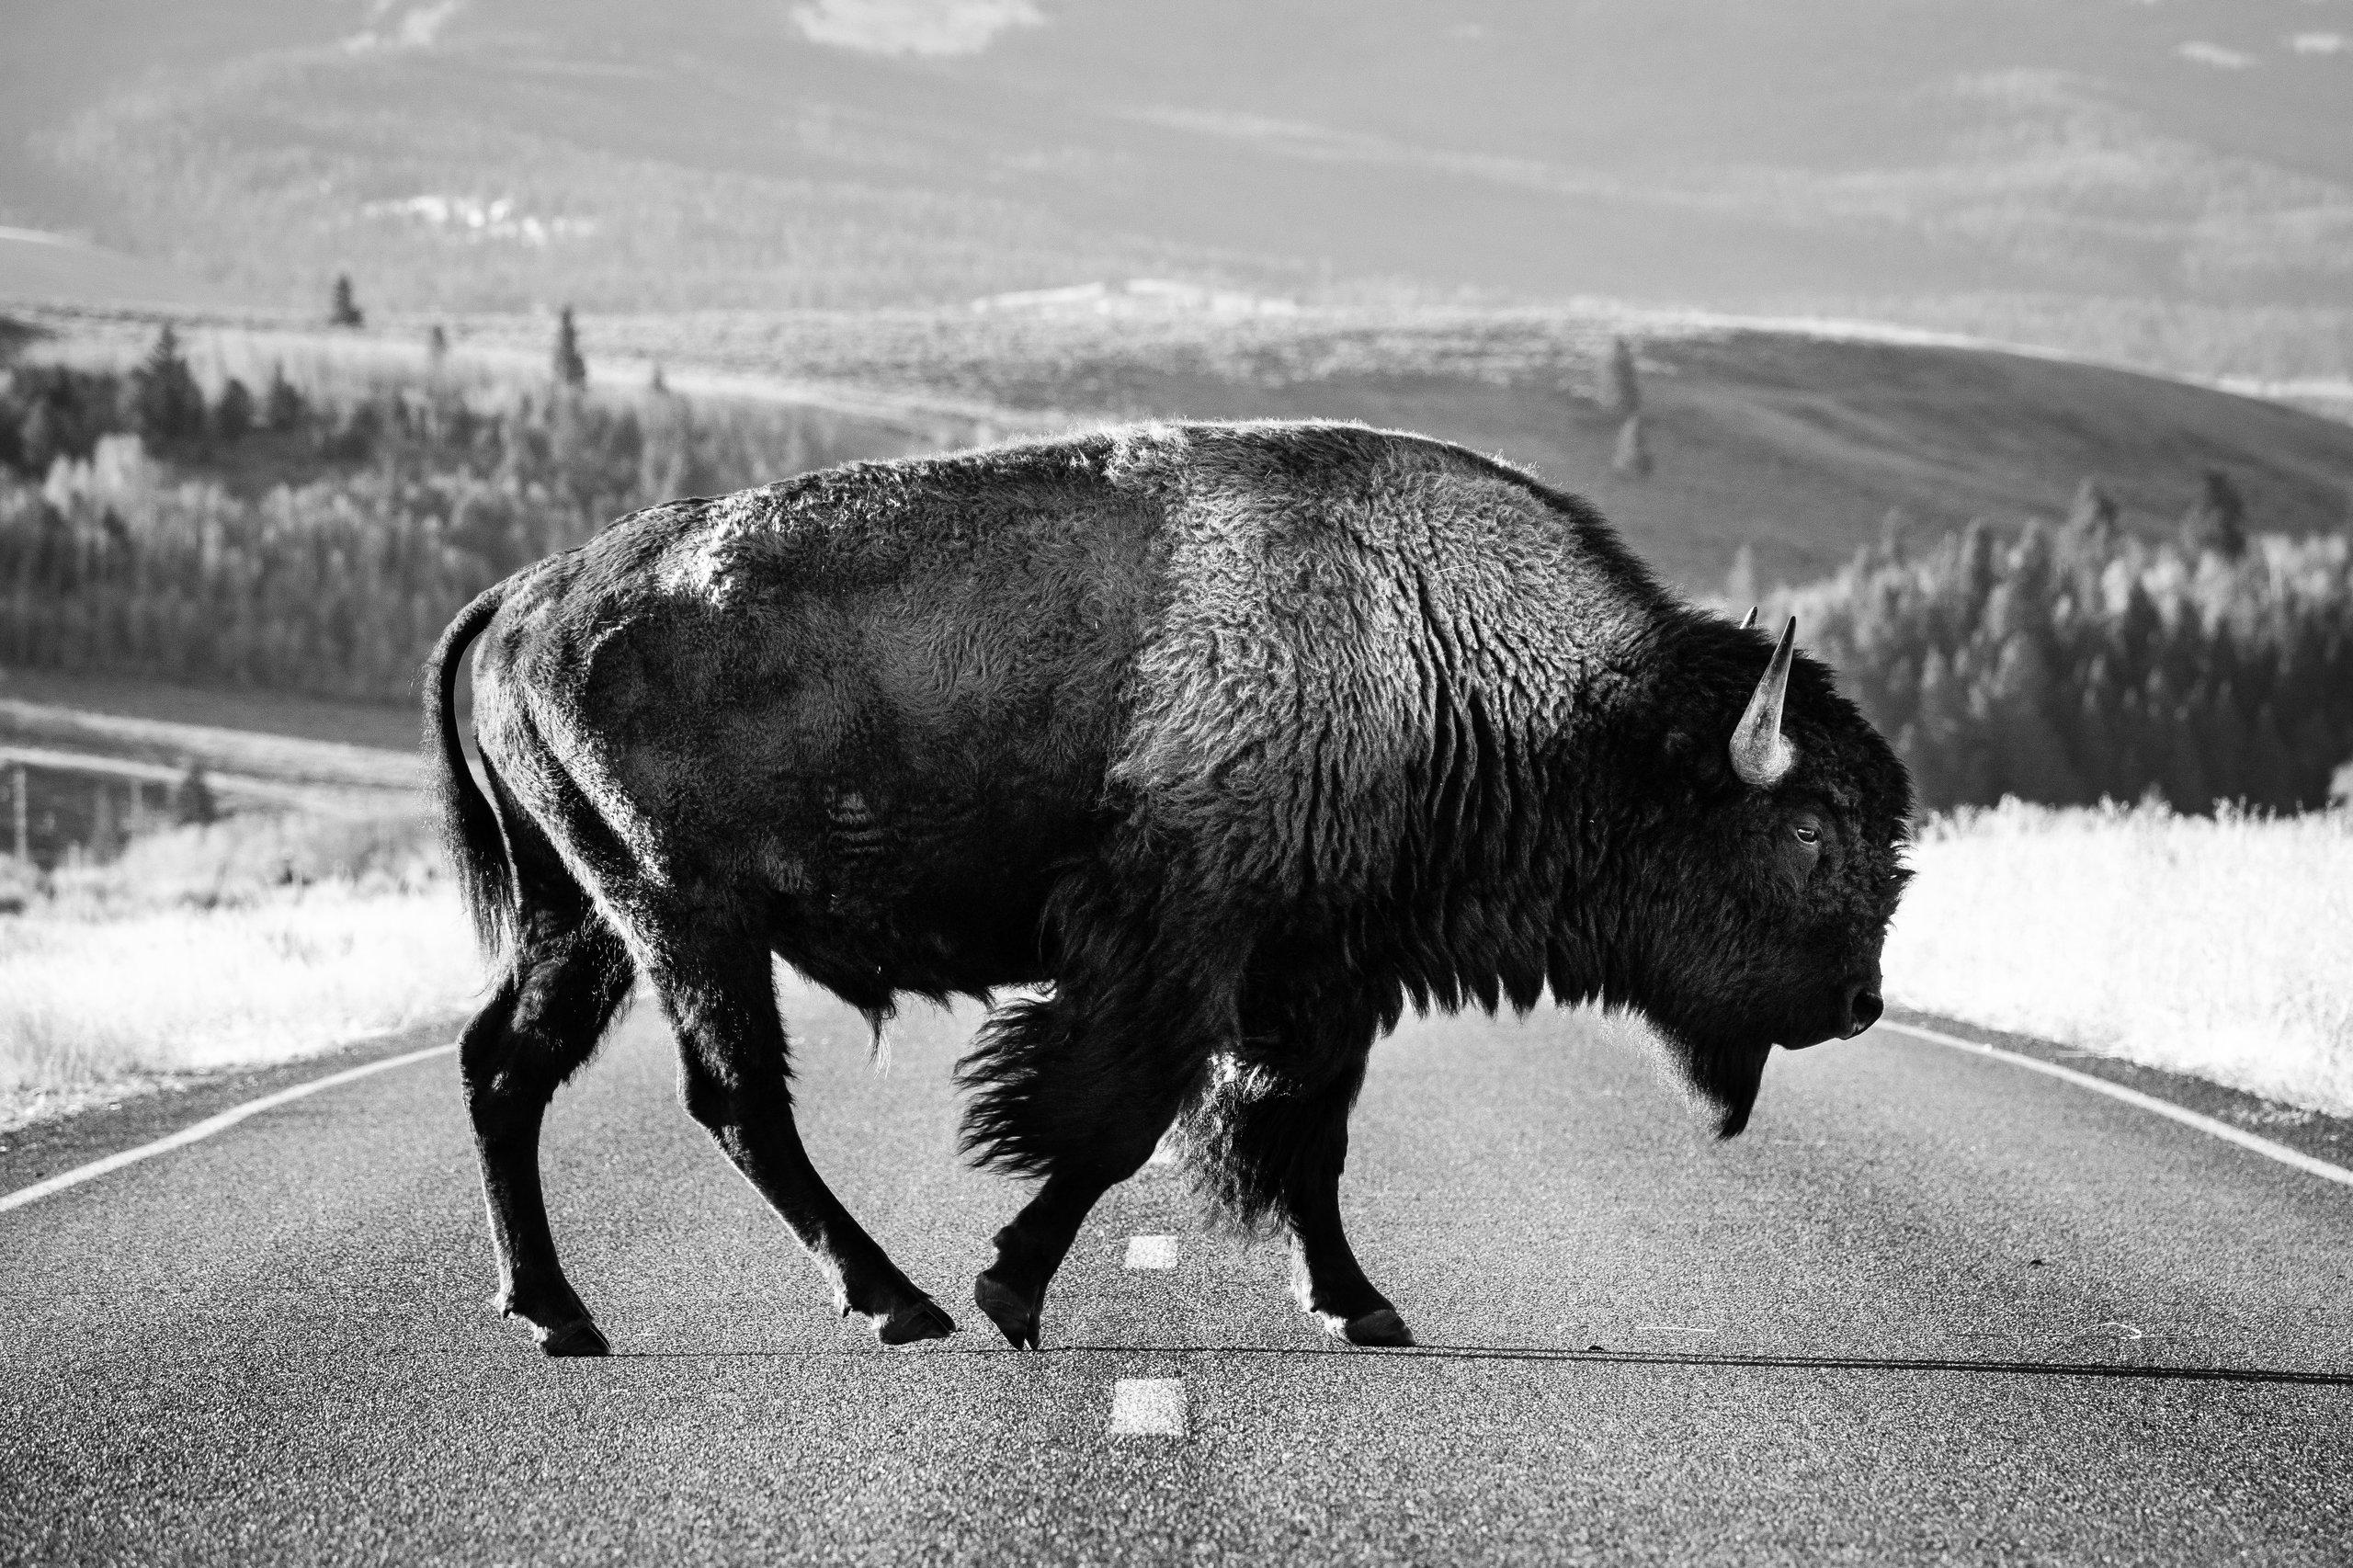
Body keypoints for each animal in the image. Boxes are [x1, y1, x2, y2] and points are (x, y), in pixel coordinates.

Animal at [425, 420, 1911, 1357]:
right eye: (1808, 832)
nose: (1861, 1001)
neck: (1438, 655)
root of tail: (523, 594)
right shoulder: (1174, 960)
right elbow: (1113, 1126)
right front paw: (1010, 1289)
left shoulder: (1326, 979)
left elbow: (1307, 1141)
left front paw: (1360, 1304)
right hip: (683, 917)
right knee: (734, 1098)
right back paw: (897, 1300)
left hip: (584, 917)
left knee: (506, 1063)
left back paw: (558, 1314)